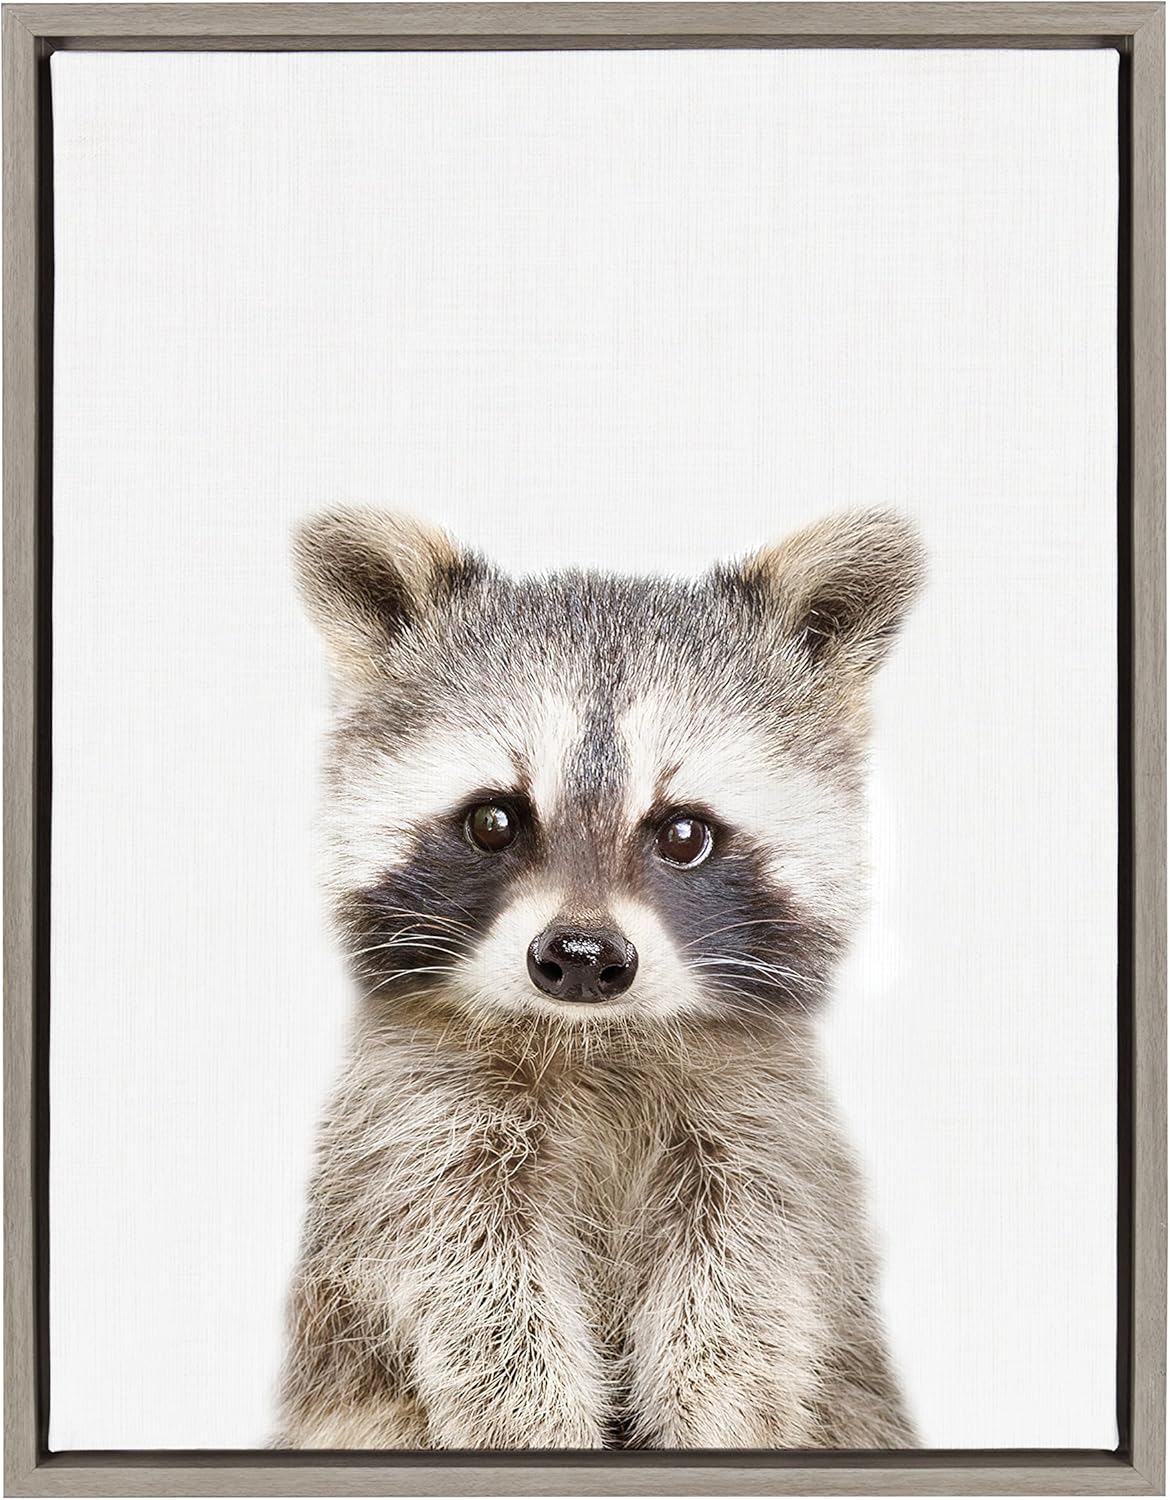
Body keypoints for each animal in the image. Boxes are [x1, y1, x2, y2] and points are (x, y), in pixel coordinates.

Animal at [275, 506, 923, 1451]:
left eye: (685, 833)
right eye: (494, 820)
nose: (581, 959)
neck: (594, 1041)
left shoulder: (766, 1130)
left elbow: (747, 1291)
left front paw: (712, 1419)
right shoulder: (412, 1125)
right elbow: (470, 1283)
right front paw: (532, 1424)